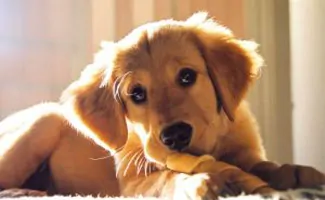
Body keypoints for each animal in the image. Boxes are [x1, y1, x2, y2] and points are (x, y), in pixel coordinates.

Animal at [0, 12, 322, 198]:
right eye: (136, 94)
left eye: (187, 76)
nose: (176, 136)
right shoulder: (132, 182)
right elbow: (166, 177)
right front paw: (199, 182)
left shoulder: (247, 151)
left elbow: (264, 165)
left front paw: (296, 172)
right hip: (42, 124)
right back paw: (25, 190)